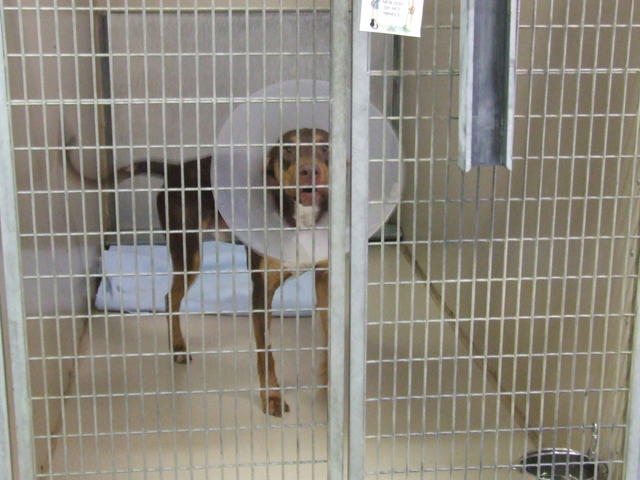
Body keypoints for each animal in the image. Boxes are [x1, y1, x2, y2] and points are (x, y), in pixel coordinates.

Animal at [65, 128, 330, 416]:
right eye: (288, 150)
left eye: (325, 147)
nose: (309, 171)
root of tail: (177, 169)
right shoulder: (261, 292)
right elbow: (266, 354)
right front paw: (271, 397)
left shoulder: (326, 280)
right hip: (188, 251)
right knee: (171, 298)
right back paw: (179, 347)